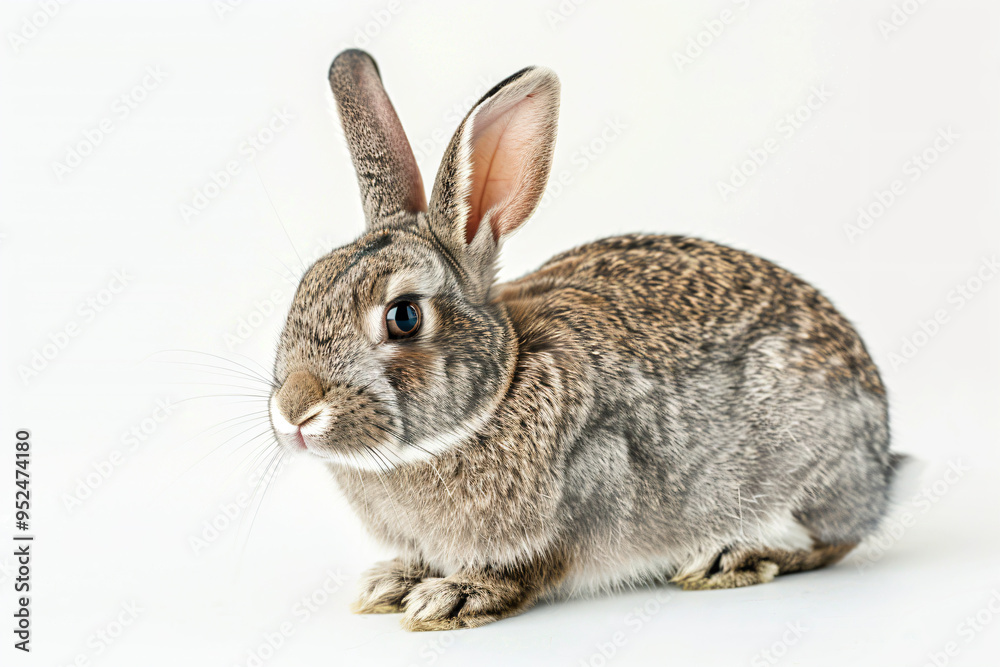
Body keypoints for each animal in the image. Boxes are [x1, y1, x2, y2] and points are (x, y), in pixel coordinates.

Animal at [267, 49, 906, 631]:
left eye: (404, 317)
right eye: (305, 287)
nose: (295, 411)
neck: (499, 390)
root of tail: (881, 460)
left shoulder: (589, 488)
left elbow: (532, 567)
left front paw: (453, 597)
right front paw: (390, 582)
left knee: (828, 543)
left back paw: (731, 558)